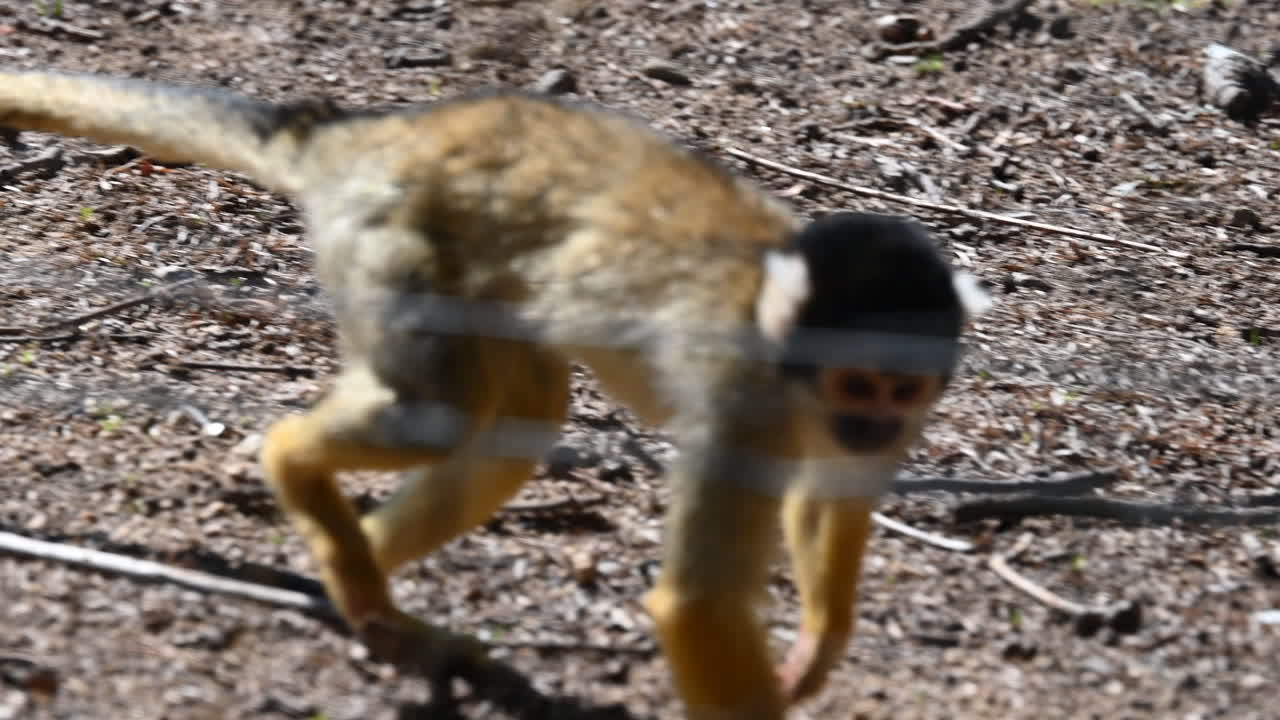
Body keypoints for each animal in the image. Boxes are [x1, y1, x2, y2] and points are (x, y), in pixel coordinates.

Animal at [0, 69, 990, 719]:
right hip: (390, 240)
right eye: (855, 381)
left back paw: (360, 581)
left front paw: (818, 647)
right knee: (435, 415)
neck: (791, 370)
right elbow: (699, 603)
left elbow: (830, 497)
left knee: (513, 424)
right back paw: (299, 473)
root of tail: (359, 136)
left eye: (899, 392)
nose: (869, 424)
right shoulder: (739, 392)